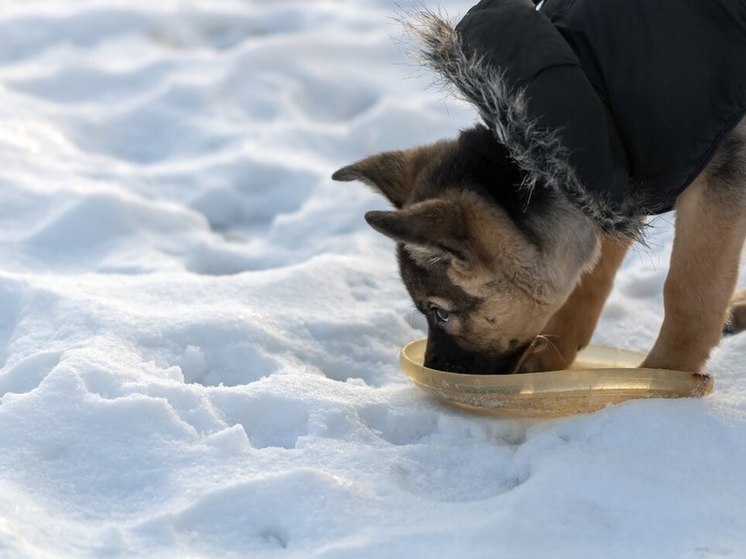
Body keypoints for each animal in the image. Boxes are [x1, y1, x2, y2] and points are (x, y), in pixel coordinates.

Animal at [332, 5, 744, 376]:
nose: (433, 371)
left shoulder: (718, 173)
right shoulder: (617, 183)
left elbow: (689, 292)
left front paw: (663, 382)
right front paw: (550, 359)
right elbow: (590, 277)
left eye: (440, 312)